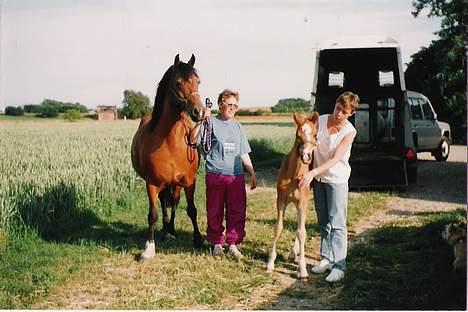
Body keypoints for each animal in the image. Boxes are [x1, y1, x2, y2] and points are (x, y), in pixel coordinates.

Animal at [132, 54, 205, 260]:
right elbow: (152, 214)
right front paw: (148, 248)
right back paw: (165, 230)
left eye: (197, 81)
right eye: (178, 83)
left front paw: (198, 240)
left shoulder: (189, 181)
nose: (199, 112)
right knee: (164, 203)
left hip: (176, 184)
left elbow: (191, 210)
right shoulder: (151, 184)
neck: (170, 142)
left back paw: (170, 229)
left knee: (173, 202)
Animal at [266, 112, 320, 278]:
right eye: (298, 135)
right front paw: (270, 264)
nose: (306, 156)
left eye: (315, 135)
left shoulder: (302, 201)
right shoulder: (281, 201)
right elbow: (278, 228)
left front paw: (302, 269)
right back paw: (292, 252)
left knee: (301, 225)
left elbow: (302, 231)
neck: (294, 175)